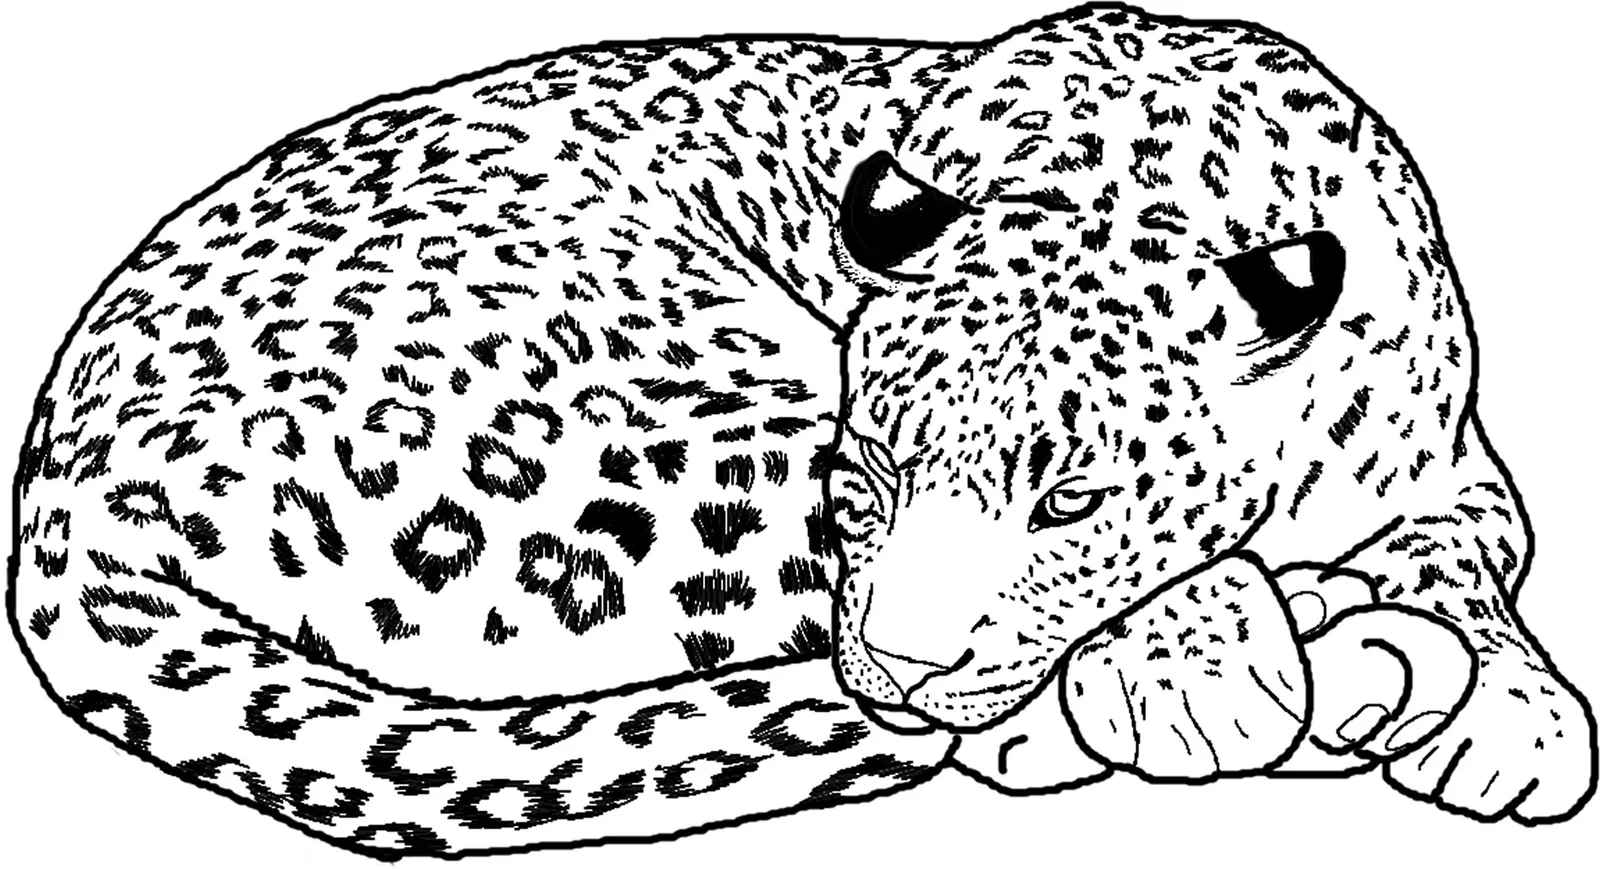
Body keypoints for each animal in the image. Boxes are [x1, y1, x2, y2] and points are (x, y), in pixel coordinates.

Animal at [8, 2, 1595, 859]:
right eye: (871, 475)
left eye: (1070, 501)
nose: (903, 662)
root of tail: (64, 478)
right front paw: (1206, 669)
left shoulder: (1456, 463)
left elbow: (1471, 549)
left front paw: (1516, 719)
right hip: (657, 432)